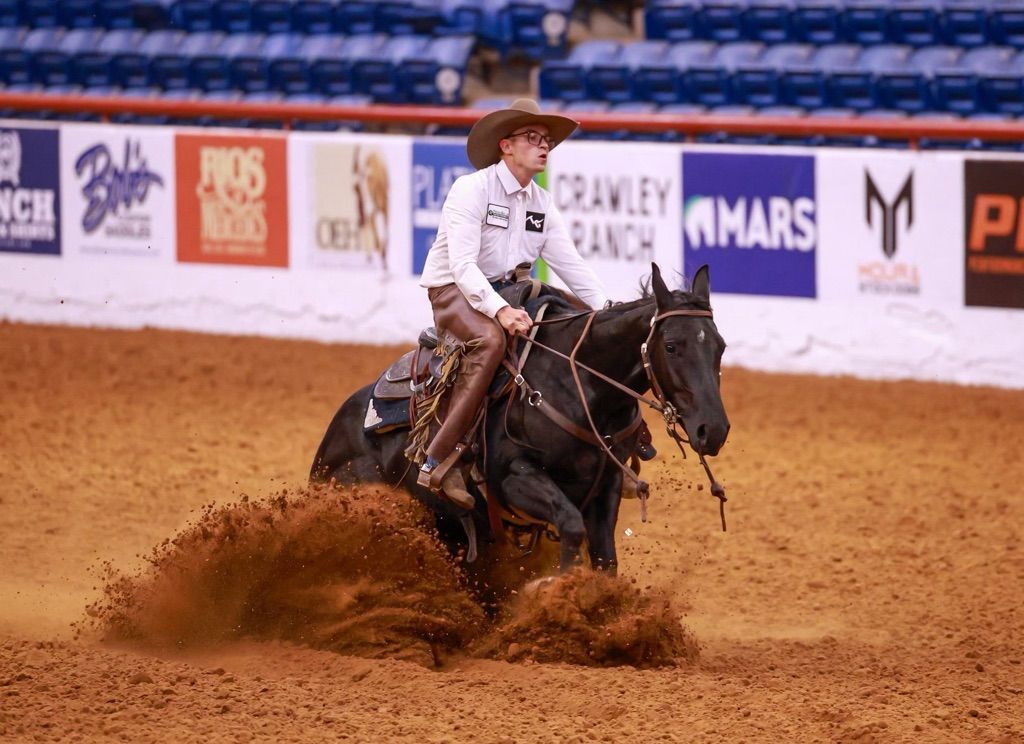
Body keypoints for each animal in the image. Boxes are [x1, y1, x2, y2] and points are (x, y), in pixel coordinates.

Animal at [309, 263, 730, 574]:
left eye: (721, 346)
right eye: (671, 346)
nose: (714, 430)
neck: (580, 387)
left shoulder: (607, 483)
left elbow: (605, 558)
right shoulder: (513, 477)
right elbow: (571, 525)